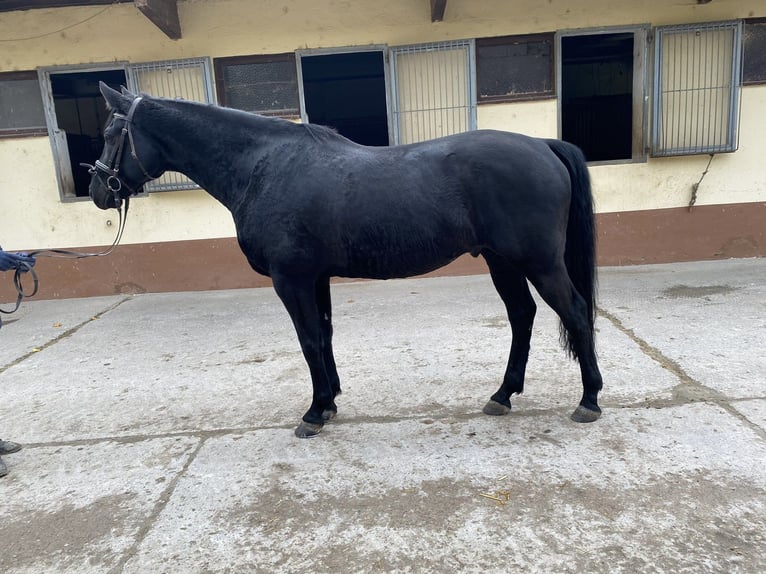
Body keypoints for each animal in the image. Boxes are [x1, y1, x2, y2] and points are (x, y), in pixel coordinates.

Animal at [88, 82, 603, 438]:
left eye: (113, 132)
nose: (98, 191)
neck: (263, 167)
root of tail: (542, 145)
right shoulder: (316, 278)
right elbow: (325, 336)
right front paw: (331, 399)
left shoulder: (291, 279)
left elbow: (309, 340)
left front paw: (315, 413)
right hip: (503, 261)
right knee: (522, 315)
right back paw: (502, 395)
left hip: (539, 263)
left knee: (576, 313)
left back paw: (589, 400)